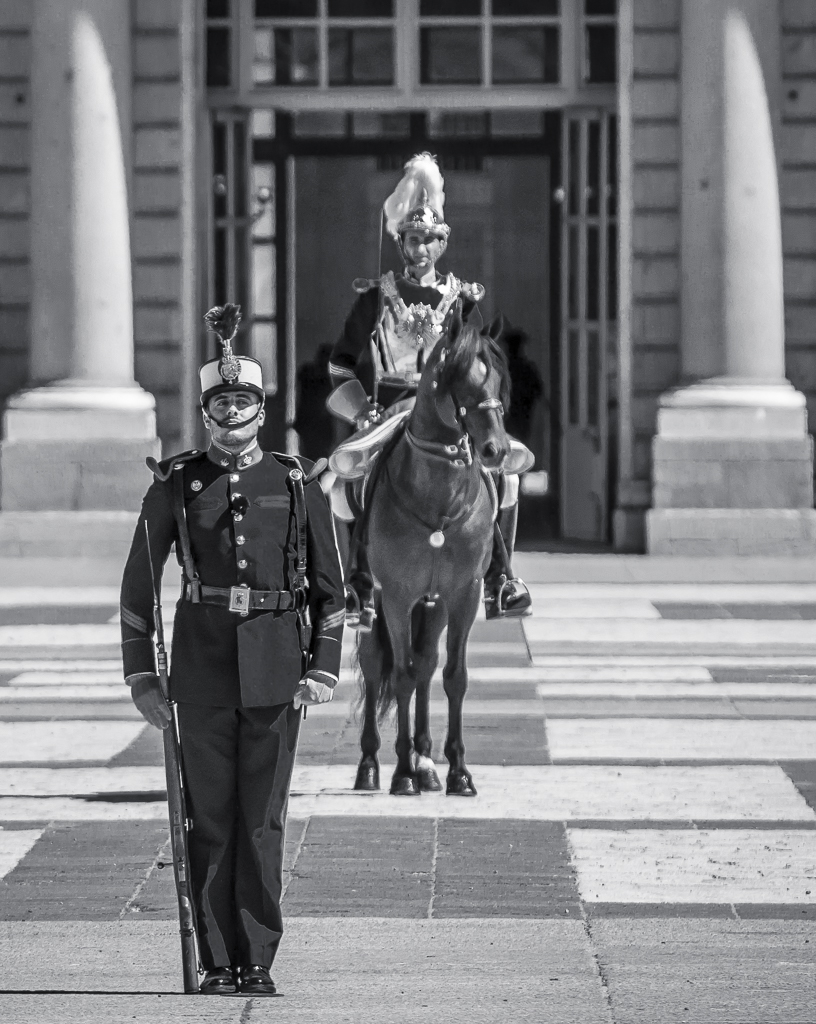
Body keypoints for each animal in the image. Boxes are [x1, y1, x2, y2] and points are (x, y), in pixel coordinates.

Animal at [354, 315, 509, 794]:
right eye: (459, 378)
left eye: (498, 377)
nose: (496, 449)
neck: (438, 499)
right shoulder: (397, 595)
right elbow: (401, 674)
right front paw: (401, 772)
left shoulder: (463, 593)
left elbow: (453, 677)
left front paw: (458, 769)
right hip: (373, 602)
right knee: (376, 663)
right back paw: (373, 764)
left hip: (433, 603)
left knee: (425, 663)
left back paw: (425, 762)